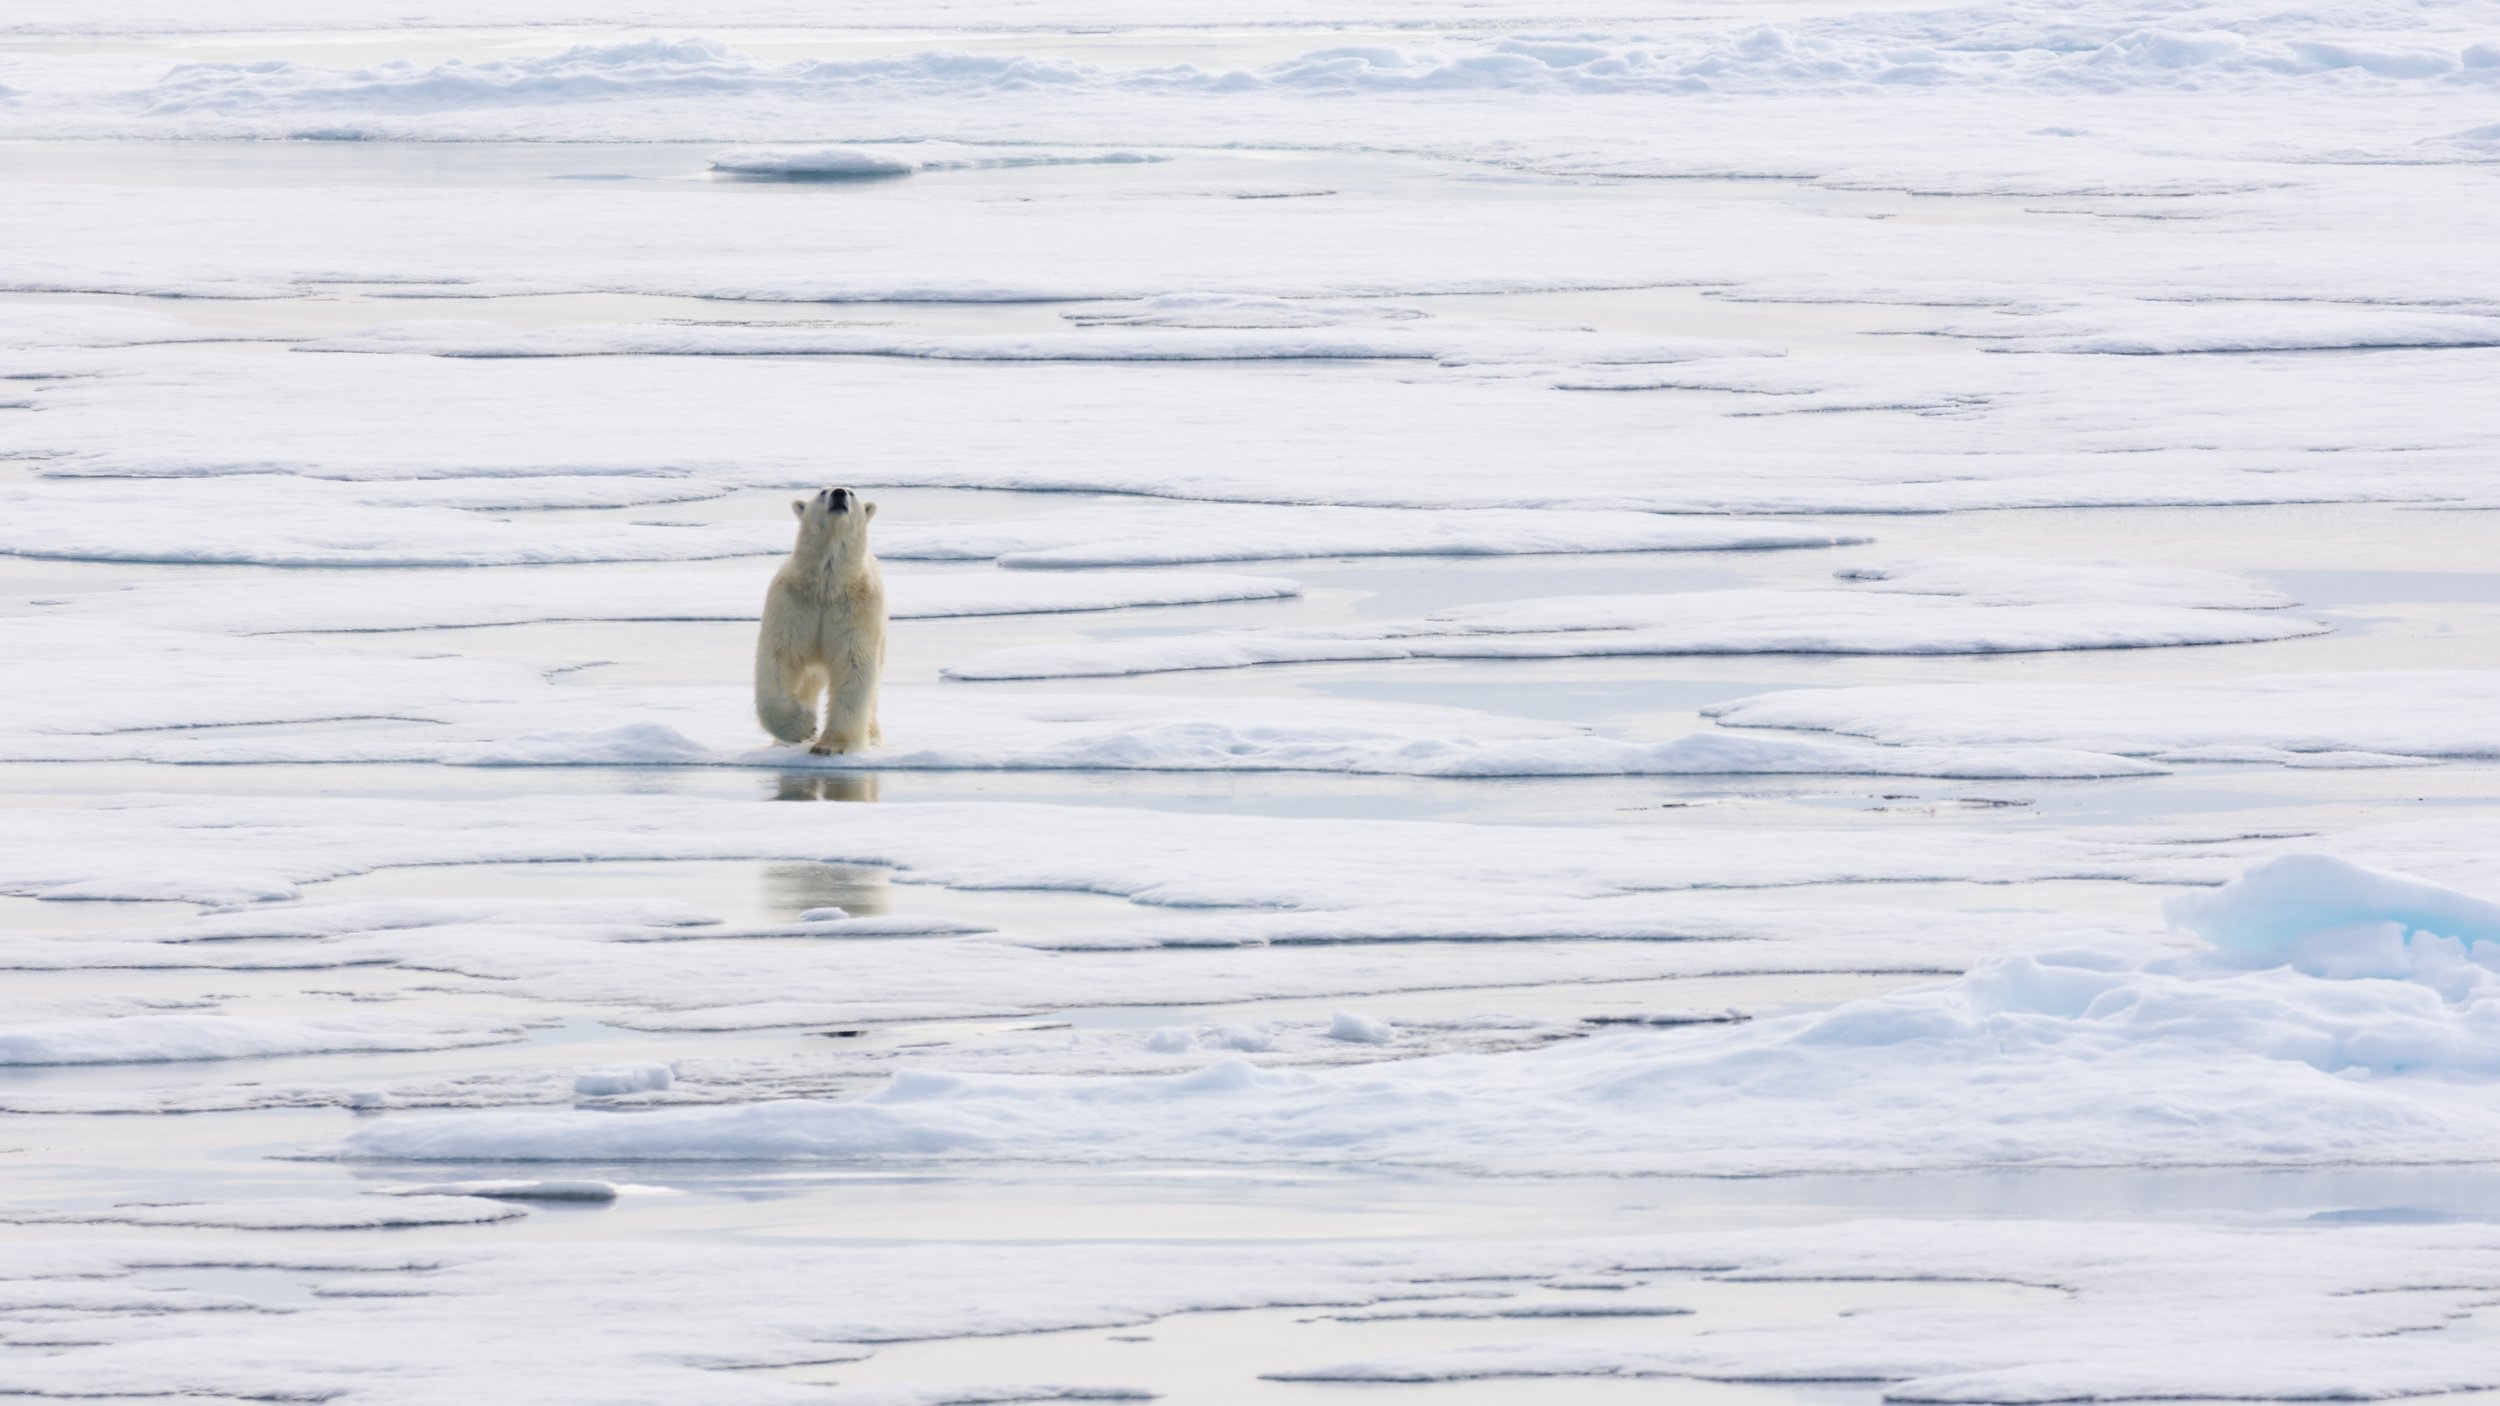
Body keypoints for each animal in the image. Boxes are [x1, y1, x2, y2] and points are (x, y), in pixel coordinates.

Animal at [755, 486, 886, 755]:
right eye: (823, 491)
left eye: (852, 492)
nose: (839, 493)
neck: (826, 587)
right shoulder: (792, 605)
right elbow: (778, 659)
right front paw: (802, 727)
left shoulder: (857, 610)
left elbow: (853, 664)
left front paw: (832, 745)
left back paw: (874, 737)